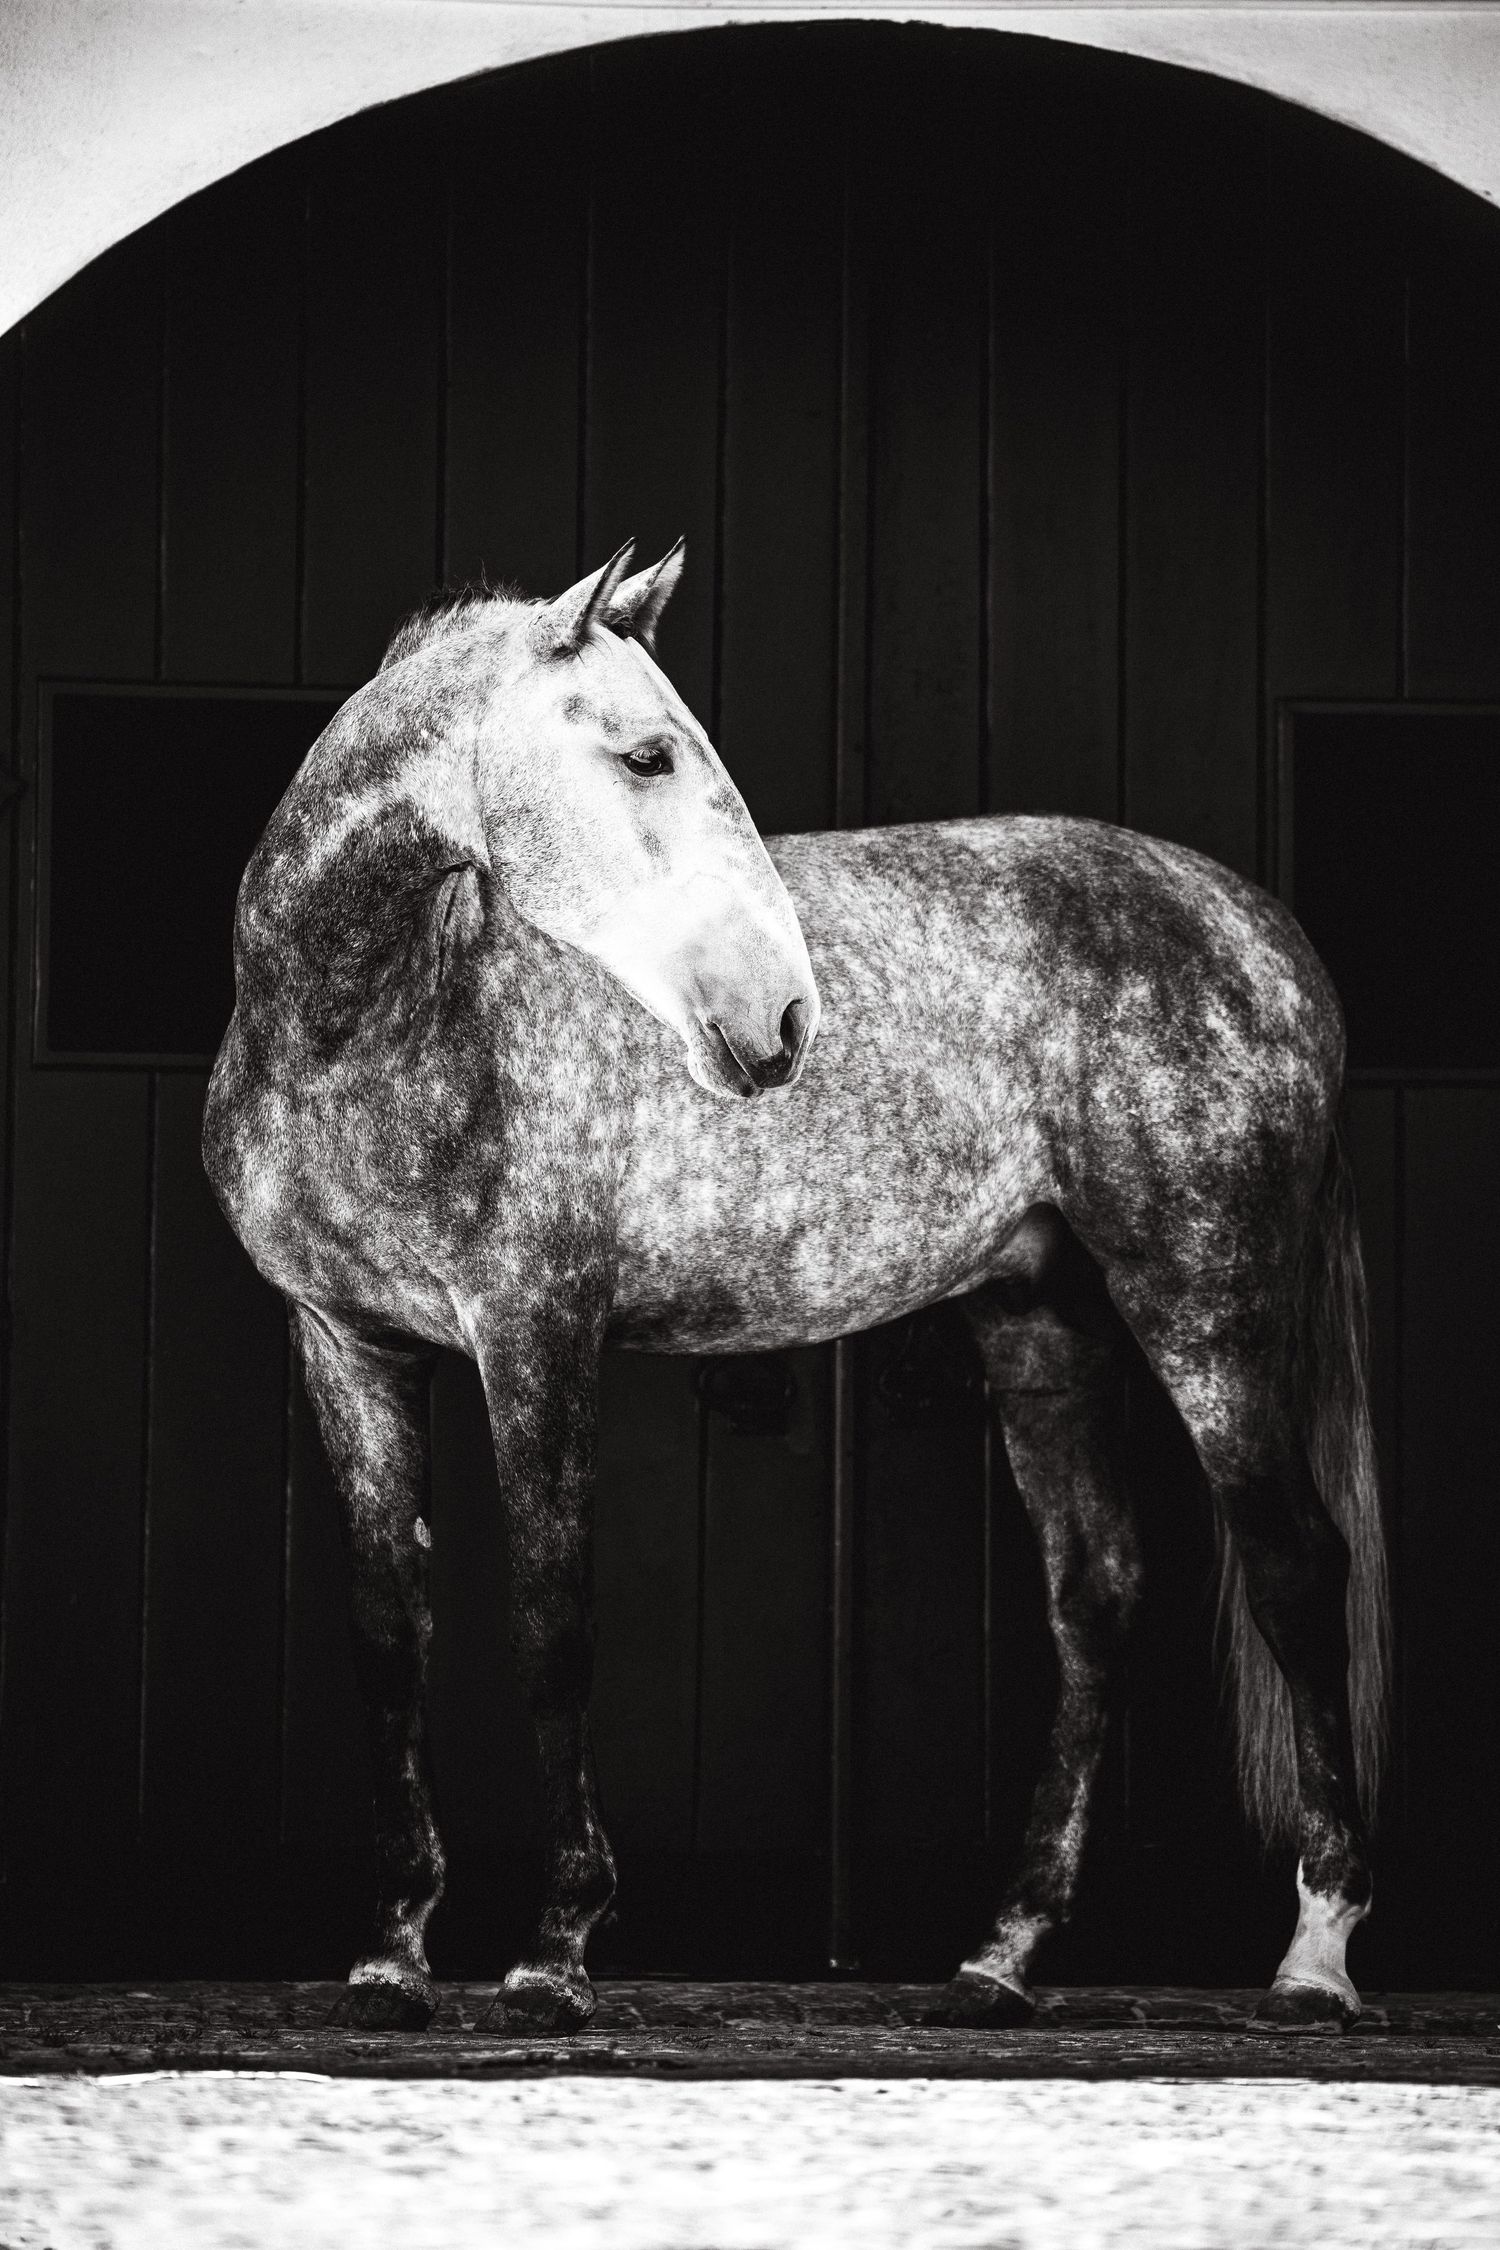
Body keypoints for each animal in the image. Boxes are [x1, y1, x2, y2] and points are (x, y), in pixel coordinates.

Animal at [203, 540, 1389, 2037]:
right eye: (647, 753)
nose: (781, 1020)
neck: (370, 1025)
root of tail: (1259, 928)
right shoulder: (347, 1344)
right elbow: (384, 1633)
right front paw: (394, 1950)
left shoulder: (535, 1327)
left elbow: (550, 1618)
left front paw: (553, 1951)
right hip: (1042, 1318)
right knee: (1097, 1594)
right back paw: (1001, 1953)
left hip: (1205, 1304)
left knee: (1296, 1567)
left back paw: (1316, 1954)